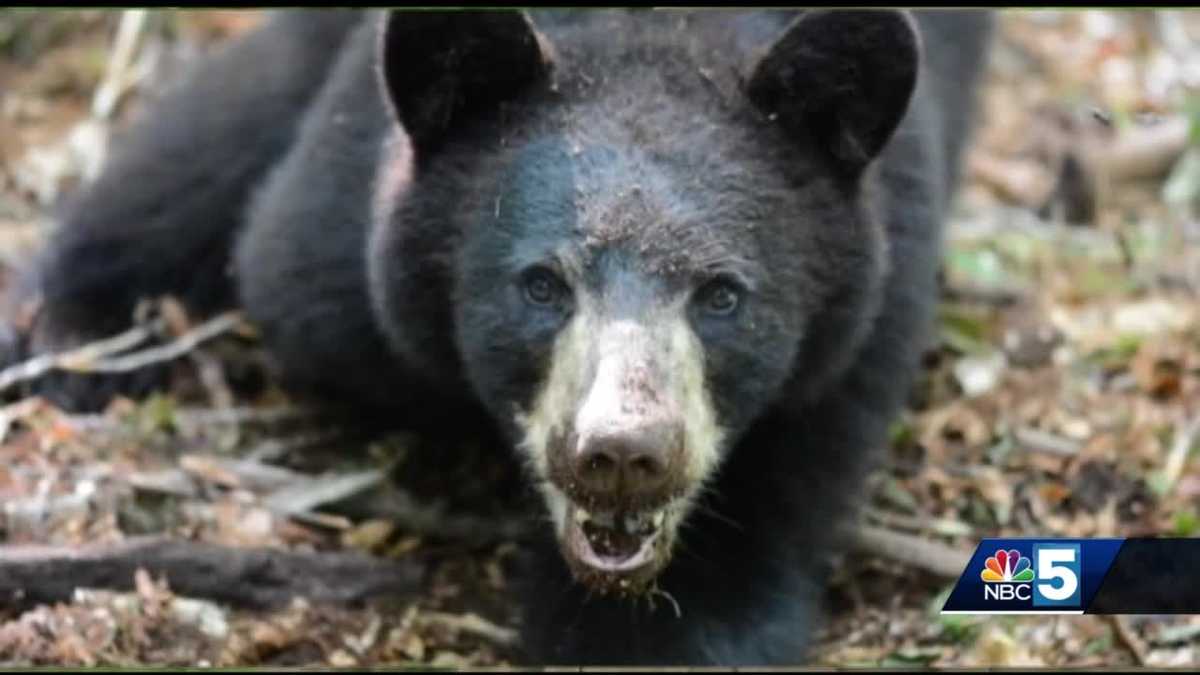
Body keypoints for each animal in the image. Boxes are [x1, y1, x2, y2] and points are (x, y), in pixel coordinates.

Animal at [4, 9, 994, 666]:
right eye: (541, 283)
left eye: (722, 295)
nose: (624, 452)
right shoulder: (333, 253)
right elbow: (276, 243)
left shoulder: (857, 332)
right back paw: (70, 334)